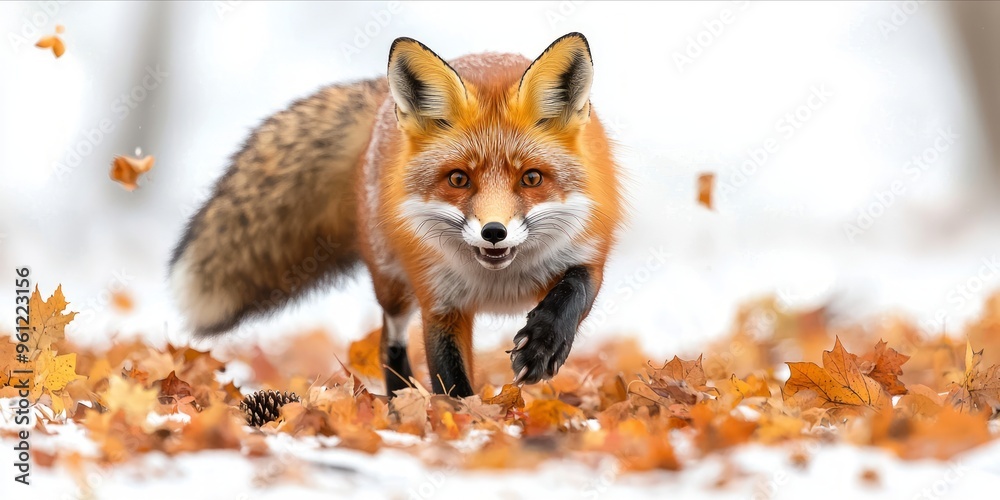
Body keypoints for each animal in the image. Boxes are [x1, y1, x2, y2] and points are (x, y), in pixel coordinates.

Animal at [169, 33, 623, 398]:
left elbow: (573, 291)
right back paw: (400, 397)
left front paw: (543, 345)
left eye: (531, 178)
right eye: (458, 179)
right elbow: (450, 378)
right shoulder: (439, 301)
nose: (494, 232)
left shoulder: (587, 255)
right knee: (389, 341)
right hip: (392, 285)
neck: (499, 283)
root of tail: (381, 103)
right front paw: (462, 424)